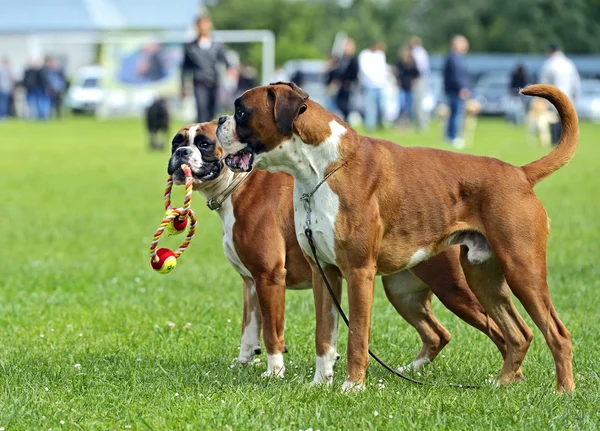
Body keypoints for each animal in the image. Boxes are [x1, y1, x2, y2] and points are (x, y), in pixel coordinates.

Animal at [168, 121, 506, 378]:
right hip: (403, 294)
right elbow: (248, 330)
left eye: (205, 144)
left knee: (499, 331)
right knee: (438, 334)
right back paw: (409, 370)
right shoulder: (250, 284)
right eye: (176, 141)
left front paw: (274, 372)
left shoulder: (269, 278)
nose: (180, 153)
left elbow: (272, 333)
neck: (237, 185)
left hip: (454, 290)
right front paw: (242, 364)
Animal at [216, 82, 576, 394]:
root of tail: (520, 173)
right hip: (479, 278)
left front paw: (351, 387)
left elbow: (357, 336)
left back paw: (563, 392)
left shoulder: (358, 273)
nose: (220, 120)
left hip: (520, 271)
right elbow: (324, 336)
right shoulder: (325, 274)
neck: (321, 169)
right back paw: (501, 384)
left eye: (242, 111)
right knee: (518, 333)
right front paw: (320, 383)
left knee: (555, 332)